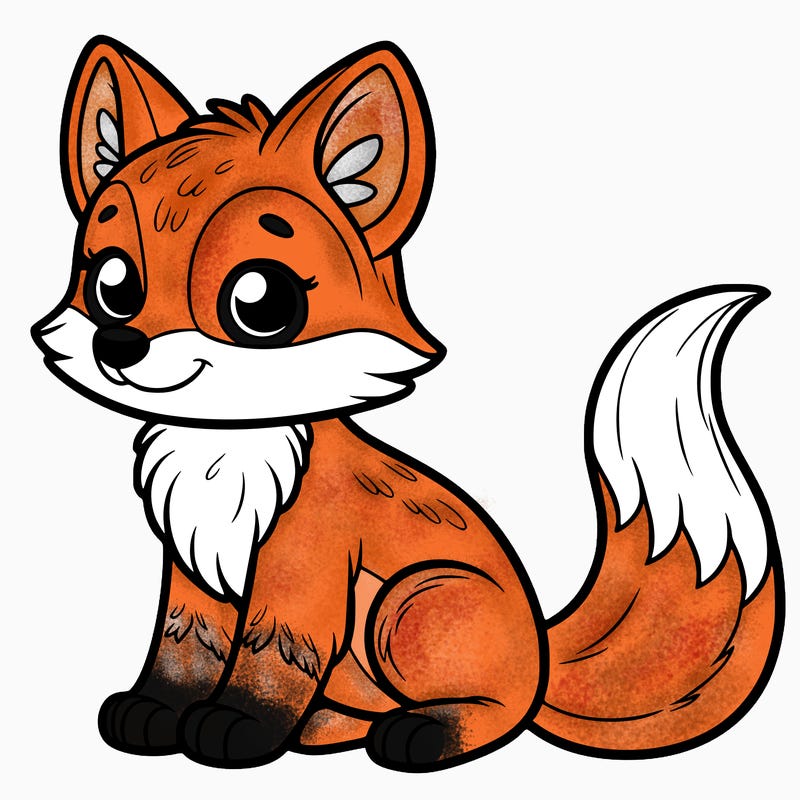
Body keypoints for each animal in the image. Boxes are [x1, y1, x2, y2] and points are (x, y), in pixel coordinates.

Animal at [32, 36, 784, 772]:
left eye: (260, 302)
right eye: (111, 284)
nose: (119, 344)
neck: (230, 449)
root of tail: (543, 651)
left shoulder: (300, 574)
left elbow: (270, 659)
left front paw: (238, 727)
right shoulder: (194, 574)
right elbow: (181, 650)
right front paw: (155, 711)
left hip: (410, 602)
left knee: (503, 712)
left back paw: (422, 732)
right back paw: (328, 728)